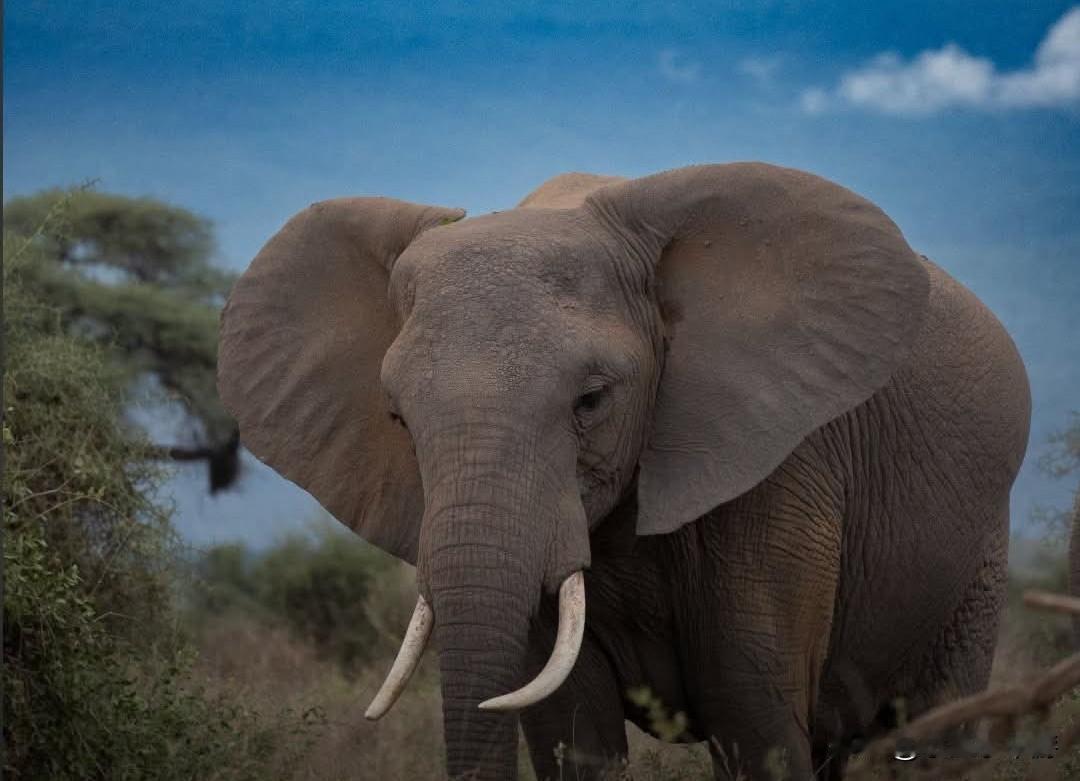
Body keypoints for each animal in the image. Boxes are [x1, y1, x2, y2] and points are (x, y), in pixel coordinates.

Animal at [217, 162, 1031, 780]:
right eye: (397, 419)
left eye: (592, 400)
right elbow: (570, 732)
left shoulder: (779, 468)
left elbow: (757, 720)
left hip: (977, 553)